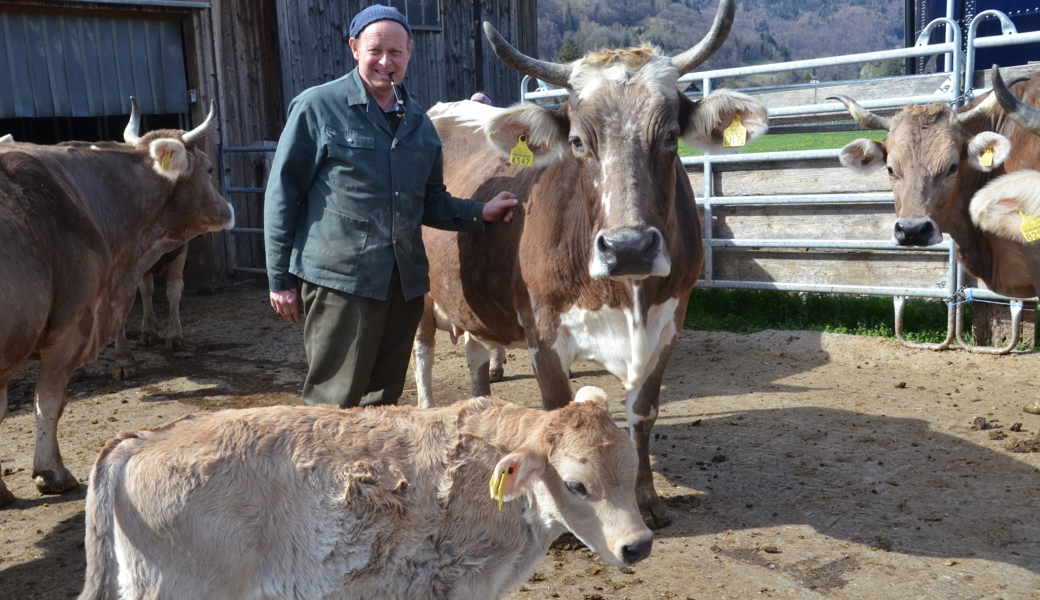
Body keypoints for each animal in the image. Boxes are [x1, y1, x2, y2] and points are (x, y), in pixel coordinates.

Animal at [409, 0, 769, 526]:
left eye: (670, 137)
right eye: (578, 141)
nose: (629, 247)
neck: (627, 295)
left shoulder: (669, 323)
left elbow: (643, 412)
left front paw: (647, 497)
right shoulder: (542, 332)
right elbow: (557, 416)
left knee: (476, 361)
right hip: (416, 290)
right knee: (422, 355)